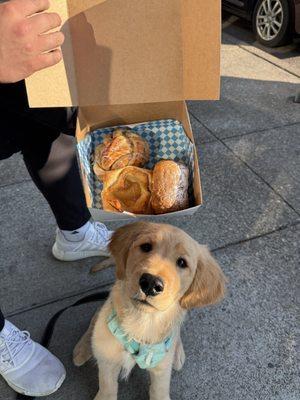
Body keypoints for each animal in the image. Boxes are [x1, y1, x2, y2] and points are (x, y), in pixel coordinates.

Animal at [74, 222, 226, 400]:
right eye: (146, 247)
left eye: (182, 262)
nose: (151, 283)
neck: (140, 324)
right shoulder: (107, 363)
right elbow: (107, 388)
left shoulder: (161, 372)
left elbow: (158, 391)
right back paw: (82, 349)